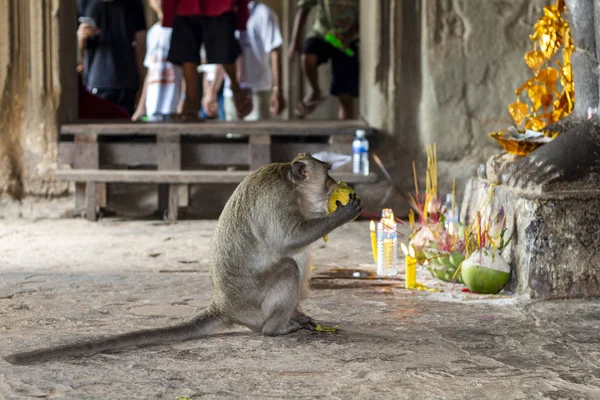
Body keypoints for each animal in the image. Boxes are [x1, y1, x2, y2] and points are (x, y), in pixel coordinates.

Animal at [4, 154, 360, 366]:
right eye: (327, 174)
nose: (335, 185)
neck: (289, 182)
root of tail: (223, 305)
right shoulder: (280, 200)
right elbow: (287, 239)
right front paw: (344, 213)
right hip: (253, 304)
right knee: (287, 265)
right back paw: (277, 328)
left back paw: (295, 316)